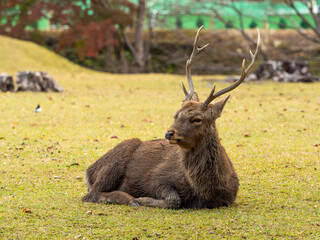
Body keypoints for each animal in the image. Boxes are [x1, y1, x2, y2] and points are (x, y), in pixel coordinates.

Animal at [82, 26, 260, 208]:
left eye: (197, 119)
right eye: (176, 114)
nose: (169, 133)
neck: (208, 190)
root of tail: (89, 171)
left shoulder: (230, 198)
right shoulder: (155, 178)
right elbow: (174, 200)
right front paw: (142, 199)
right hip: (120, 155)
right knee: (91, 194)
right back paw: (128, 198)